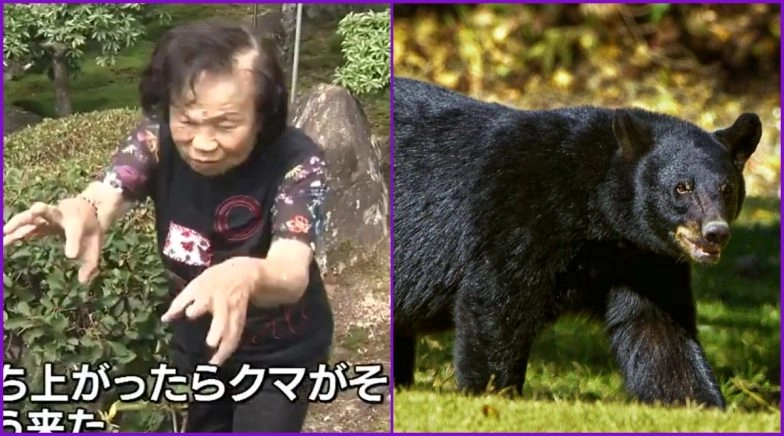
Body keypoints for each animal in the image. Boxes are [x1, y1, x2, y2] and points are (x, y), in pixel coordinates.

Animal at [392, 77, 762, 409]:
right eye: (682, 187)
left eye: (727, 188)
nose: (715, 232)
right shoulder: (516, 213)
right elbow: (496, 302)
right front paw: (492, 392)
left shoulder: (643, 258)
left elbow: (658, 329)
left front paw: (697, 402)